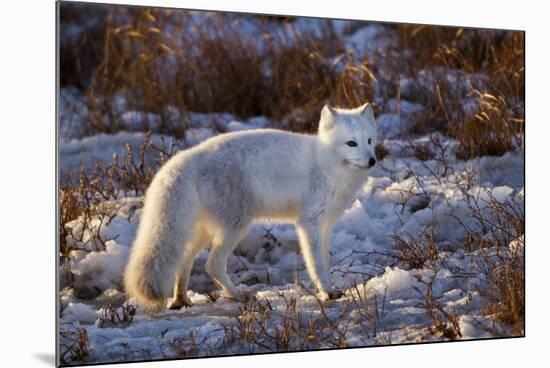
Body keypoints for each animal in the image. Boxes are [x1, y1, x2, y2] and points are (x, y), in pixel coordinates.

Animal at [125, 102, 380, 310]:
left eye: (369, 141)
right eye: (351, 143)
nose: (372, 161)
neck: (328, 164)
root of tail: (188, 157)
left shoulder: (324, 225)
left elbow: (324, 260)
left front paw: (329, 288)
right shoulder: (309, 222)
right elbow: (316, 262)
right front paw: (327, 292)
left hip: (205, 230)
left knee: (184, 260)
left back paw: (181, 300)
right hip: (236, 225)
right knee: (212, 265)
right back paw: (238, 295)